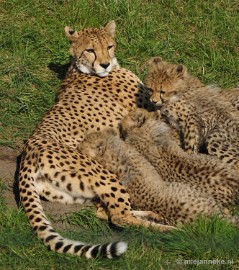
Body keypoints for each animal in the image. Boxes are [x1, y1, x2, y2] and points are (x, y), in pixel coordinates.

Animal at [17, 20, 159, 258]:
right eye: (90, 50)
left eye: (109, 46)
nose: (104, 64)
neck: (80, 69)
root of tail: (29, 150)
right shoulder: (147, 109)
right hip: (104, 174)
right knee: (118, 216)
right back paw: (174, 229)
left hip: (74, 191)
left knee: (104, 211)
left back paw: (153, 215)